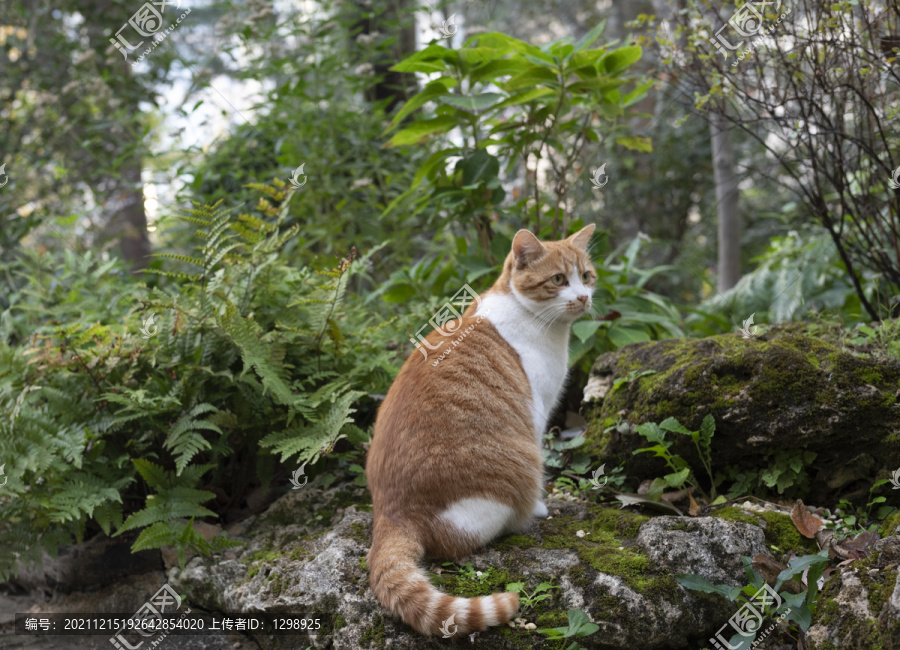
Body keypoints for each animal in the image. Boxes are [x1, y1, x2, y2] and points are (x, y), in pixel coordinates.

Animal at [366, 223, 596, 632]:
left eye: (586, 276)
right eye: (558, 280)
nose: (583, 297)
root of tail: (390, 512)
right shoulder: (536, 413)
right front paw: (543, 504)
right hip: (514, 469)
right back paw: (527, 514)